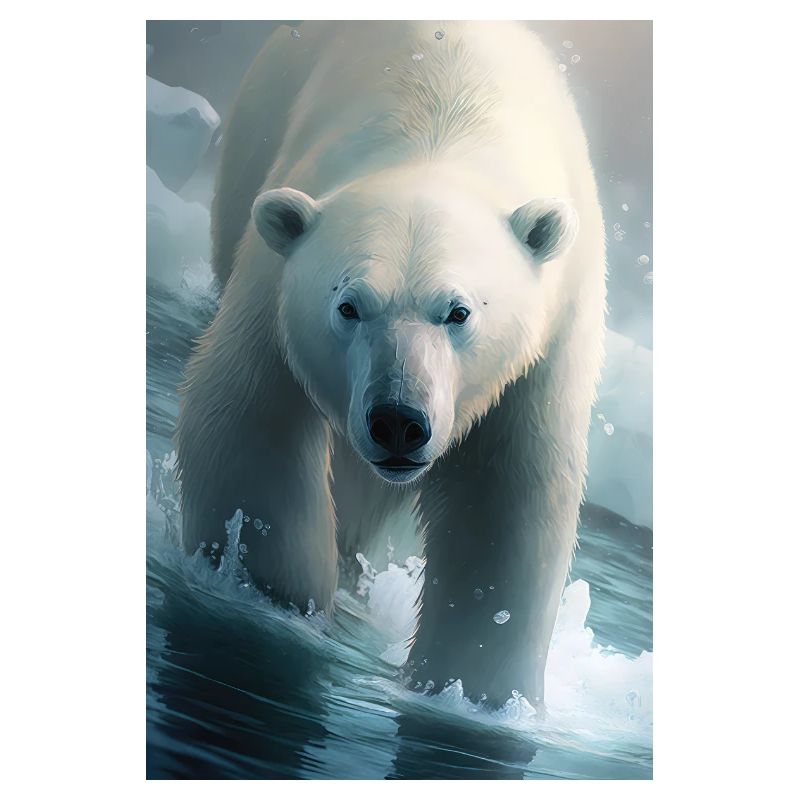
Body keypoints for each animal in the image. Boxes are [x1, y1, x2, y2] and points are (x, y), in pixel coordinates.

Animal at [176, 20, 606, 708]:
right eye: (348, 305)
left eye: (458, 311)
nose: (398, 421)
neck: (444, 126)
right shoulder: (277, 285)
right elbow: (249, 426)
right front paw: (278, 602)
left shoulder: (546, 342)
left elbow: (506, 507)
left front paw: (476, 690)